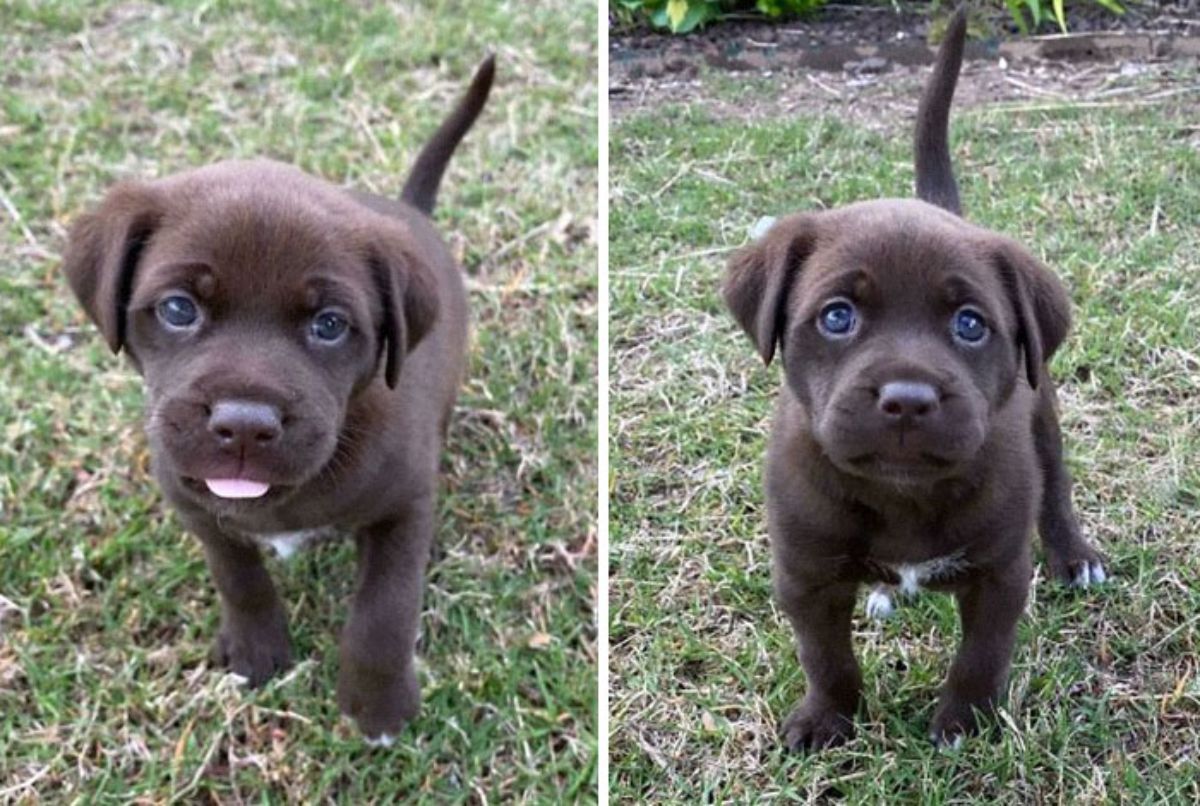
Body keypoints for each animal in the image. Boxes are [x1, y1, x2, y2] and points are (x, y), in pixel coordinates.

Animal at [59, 59, 492, 748]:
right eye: (178, 308)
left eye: (330, 325)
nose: (243, 426)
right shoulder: (194, 502)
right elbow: (237, 576)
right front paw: (256, 649)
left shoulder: (406, 506)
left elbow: (384, 612)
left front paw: (378, 704)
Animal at [720, 15, 1104, 748]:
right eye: (837, 316)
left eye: (970, 324)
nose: (906, 400)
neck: (902, 494)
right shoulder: (806, 576)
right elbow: (826, 657)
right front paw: (828, 719)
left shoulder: (1000, 574)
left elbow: (982, 654)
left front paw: (963, 723)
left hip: (1043, 421)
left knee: (1057, 492)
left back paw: (1075, 556)